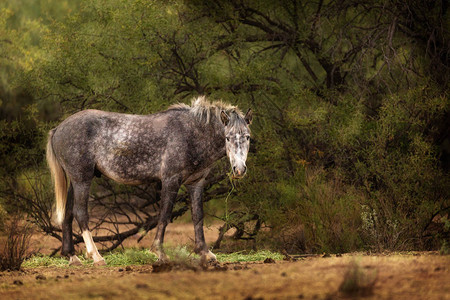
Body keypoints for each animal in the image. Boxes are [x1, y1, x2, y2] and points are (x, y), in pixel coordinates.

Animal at [46, 95, 253, 264]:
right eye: (227, 137)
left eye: (248, 137)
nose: (239, 169)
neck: (191, 133)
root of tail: (58, 129)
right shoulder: (170, 180)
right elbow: (164, 215)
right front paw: (159, 252)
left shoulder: (196, 183)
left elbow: (198, 216)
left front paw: (205, 253)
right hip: (82, 179)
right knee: (80, 213)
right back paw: (96, 256)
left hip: (74, 181)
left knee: (68, 214)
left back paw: (72, 257)